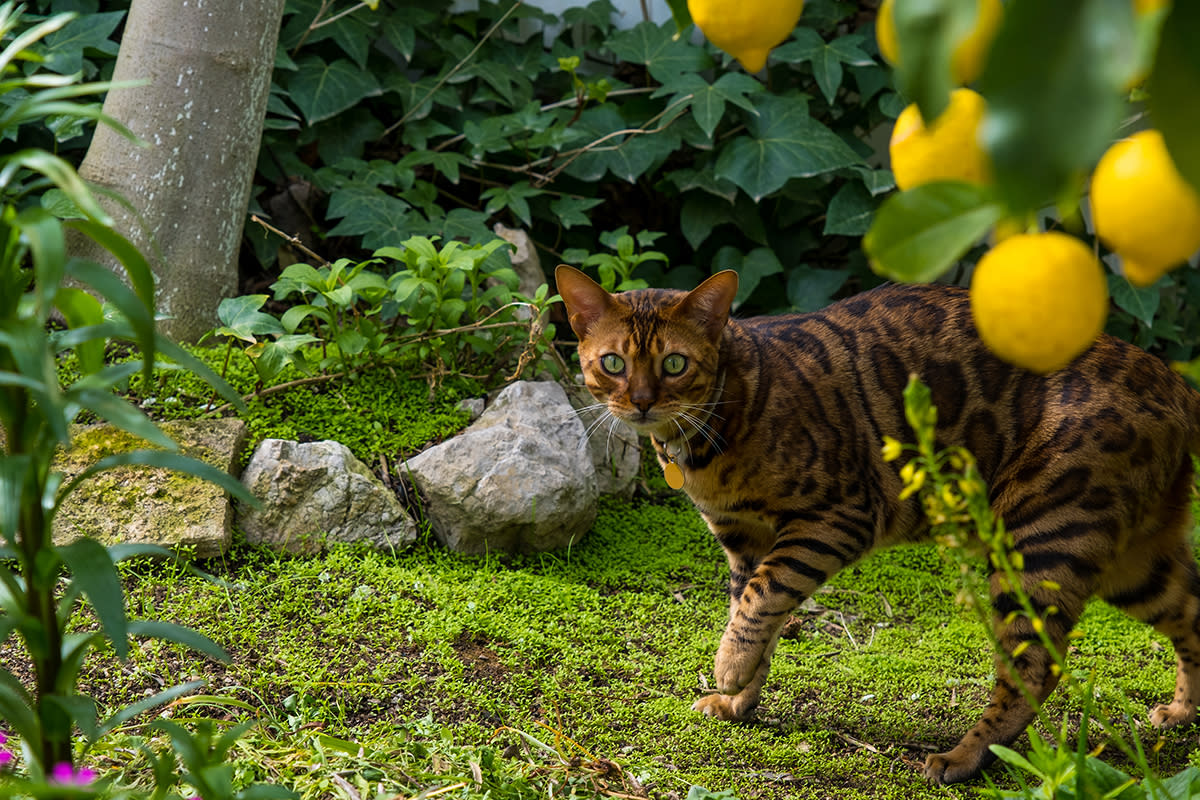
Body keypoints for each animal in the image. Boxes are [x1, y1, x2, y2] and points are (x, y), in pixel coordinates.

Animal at [554, 262, 1200, 782]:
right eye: (612, 363)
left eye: (674, 364)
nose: (640, 402)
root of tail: (1173, 380)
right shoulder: (743, 540)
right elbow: (754, 614)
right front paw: (738, 699)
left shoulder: (838, 516)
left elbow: (762, 597)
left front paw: (728, 670)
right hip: (1132, 562)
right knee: (1193, 611)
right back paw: (1182, 712)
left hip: (1039, 538)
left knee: (1035, 668)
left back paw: (964, 757)